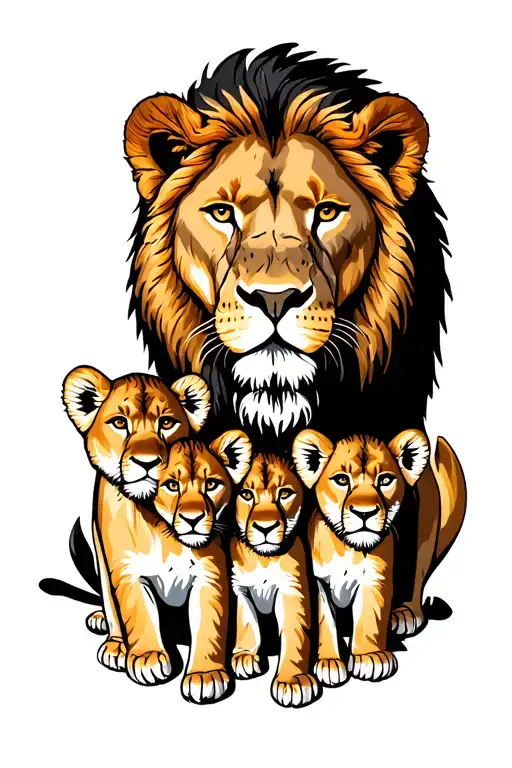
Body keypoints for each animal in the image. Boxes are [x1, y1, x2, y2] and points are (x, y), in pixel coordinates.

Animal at [231, 453, 320, 708]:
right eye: (246, 494)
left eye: (285, 493)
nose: (265, 528)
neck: (263, 558)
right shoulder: (240, 589)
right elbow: (247, 623)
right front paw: (245, 656)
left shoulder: (292, 589)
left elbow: (294, 633)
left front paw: (293, 680)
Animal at [293, 429, 466, 683]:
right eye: (342, 480)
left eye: (385, 480)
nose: (364, 513)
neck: (349, 547)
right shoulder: (319, 583)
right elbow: (326, 623)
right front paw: (329, 663)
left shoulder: (375, 579)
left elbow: (369, 618)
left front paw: (369, 658)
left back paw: (405, 615)